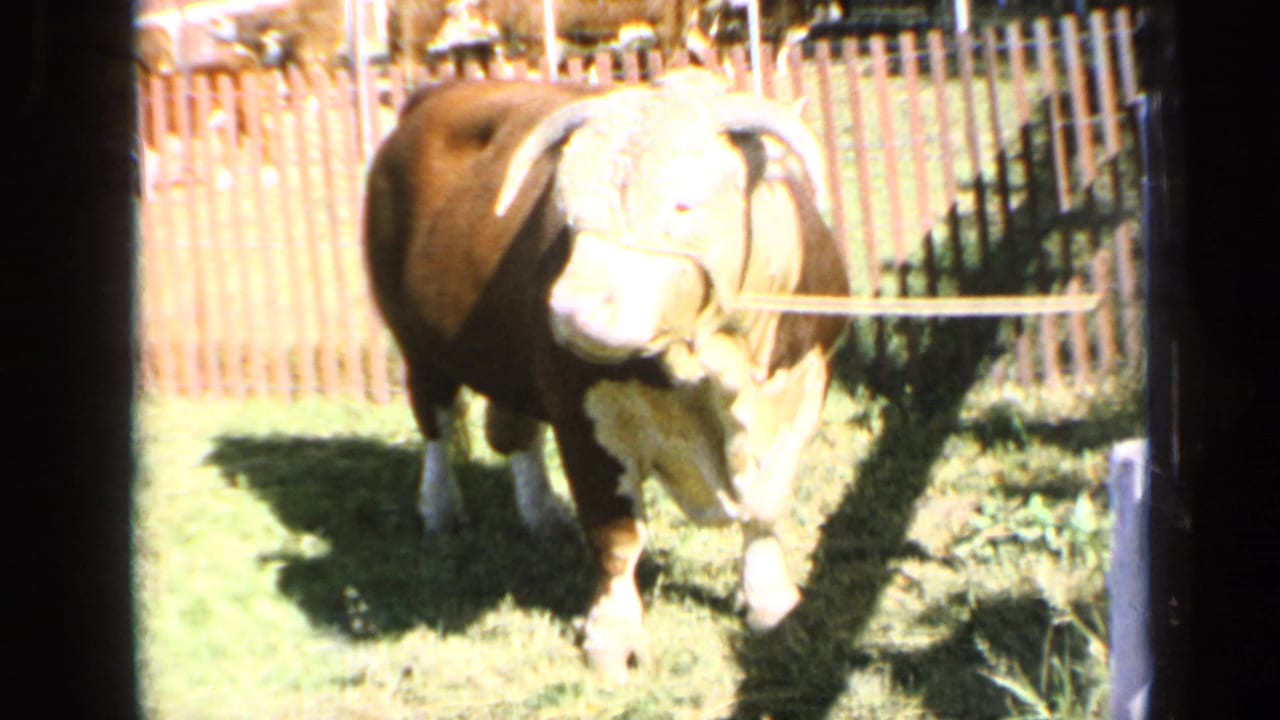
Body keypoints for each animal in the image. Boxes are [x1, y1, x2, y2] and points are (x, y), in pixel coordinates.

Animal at [363, 67, 849, 681]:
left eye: (683, 205)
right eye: (564, 207)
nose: (571, 312)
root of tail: (438, 93)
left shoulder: (802, 387)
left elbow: (765, 506)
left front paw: (771, 603)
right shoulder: (581, 413)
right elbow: (616, 535)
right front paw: (612, 639)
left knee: (514, 433)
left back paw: (543, 514)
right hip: (420, 349)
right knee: (437, 427)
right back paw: (441, 509)